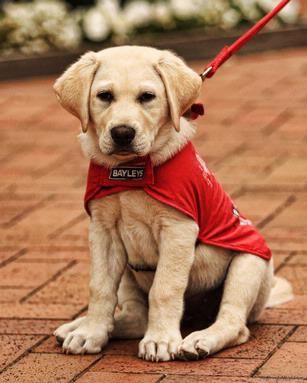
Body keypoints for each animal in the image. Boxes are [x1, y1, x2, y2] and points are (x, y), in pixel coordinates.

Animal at [53, 46, 294, 362]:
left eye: (147, 97)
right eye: (104, 96)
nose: (122, 133)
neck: (133, 172)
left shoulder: (177, 229)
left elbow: (165, 288)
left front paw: (160, 340)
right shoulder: (102, 231)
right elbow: (100, 287)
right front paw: (90, 333)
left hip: (249, 264)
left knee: (234, 323)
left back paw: (200, 340)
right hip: (129, 273)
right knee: (136, 316)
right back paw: (80, 327)